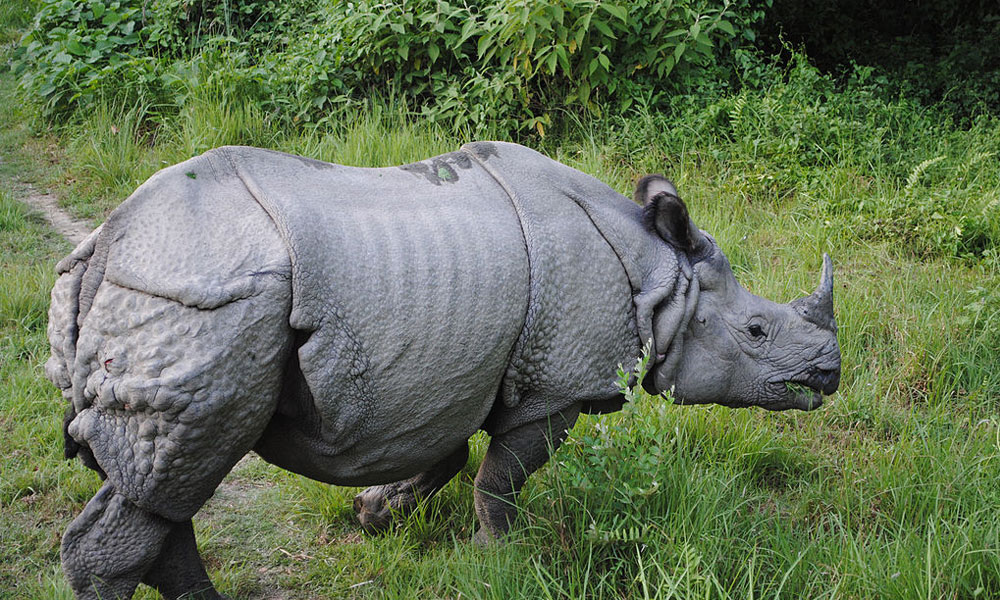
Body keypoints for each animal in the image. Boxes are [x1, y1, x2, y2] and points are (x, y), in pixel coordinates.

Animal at [45, 141, 840, 599]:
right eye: (758, 331)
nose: (829, 373)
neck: (661, 279)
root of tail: (106, 244)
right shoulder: (557, 387)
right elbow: (500, 480)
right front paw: (498, 562)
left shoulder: (456, 372)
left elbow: (448, 455)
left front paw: (376, 514)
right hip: (203, 300)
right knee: (177, 472)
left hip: (177, 296)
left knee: (163, 486)